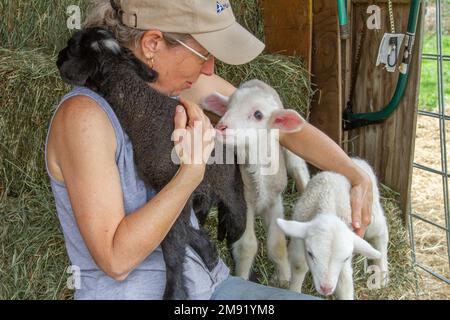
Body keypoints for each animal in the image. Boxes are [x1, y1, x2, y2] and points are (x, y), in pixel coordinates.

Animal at [203, 79, 312, 284]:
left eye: (258, 115)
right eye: (227, 107)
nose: (221, 127)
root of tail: (257, 80)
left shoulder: (275, 201)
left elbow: (277, 245)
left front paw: (284, 276)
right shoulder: (244, 202)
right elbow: (247, 245)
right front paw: (242, 276)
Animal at [276, 158, 388, 300]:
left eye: (346, 258)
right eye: (310, 254)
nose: (326, 288)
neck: (327, 203)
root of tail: (358, 161)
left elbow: (345, 284)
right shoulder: (298, 241)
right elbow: (298, 265)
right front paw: (294, 290)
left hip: (371, 214)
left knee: (381, 233)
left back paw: (382, 270)